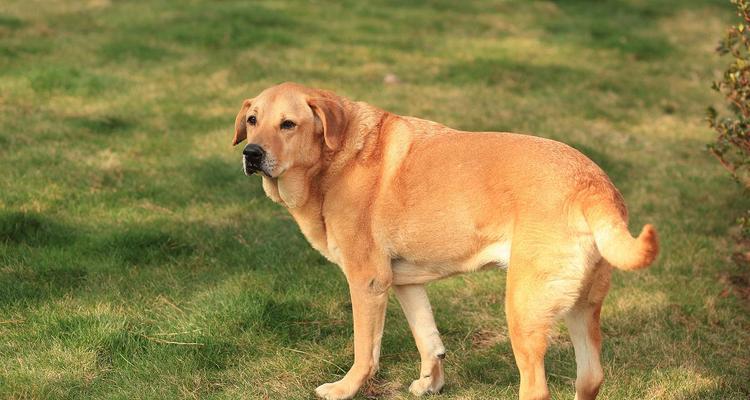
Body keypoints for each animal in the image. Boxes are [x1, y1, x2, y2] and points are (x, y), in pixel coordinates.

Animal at [232, 83, 660, 398]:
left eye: (288, 124)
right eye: (252, 120)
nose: (251, 153)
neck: (335, 158)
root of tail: (594, 186)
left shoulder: (367, 282)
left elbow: (365, 351)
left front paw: (345, 388)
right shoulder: (405, 282)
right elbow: (428, 339)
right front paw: (430, 383)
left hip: (523, 311)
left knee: (537, 388)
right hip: (580, 307)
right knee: (590, 378)